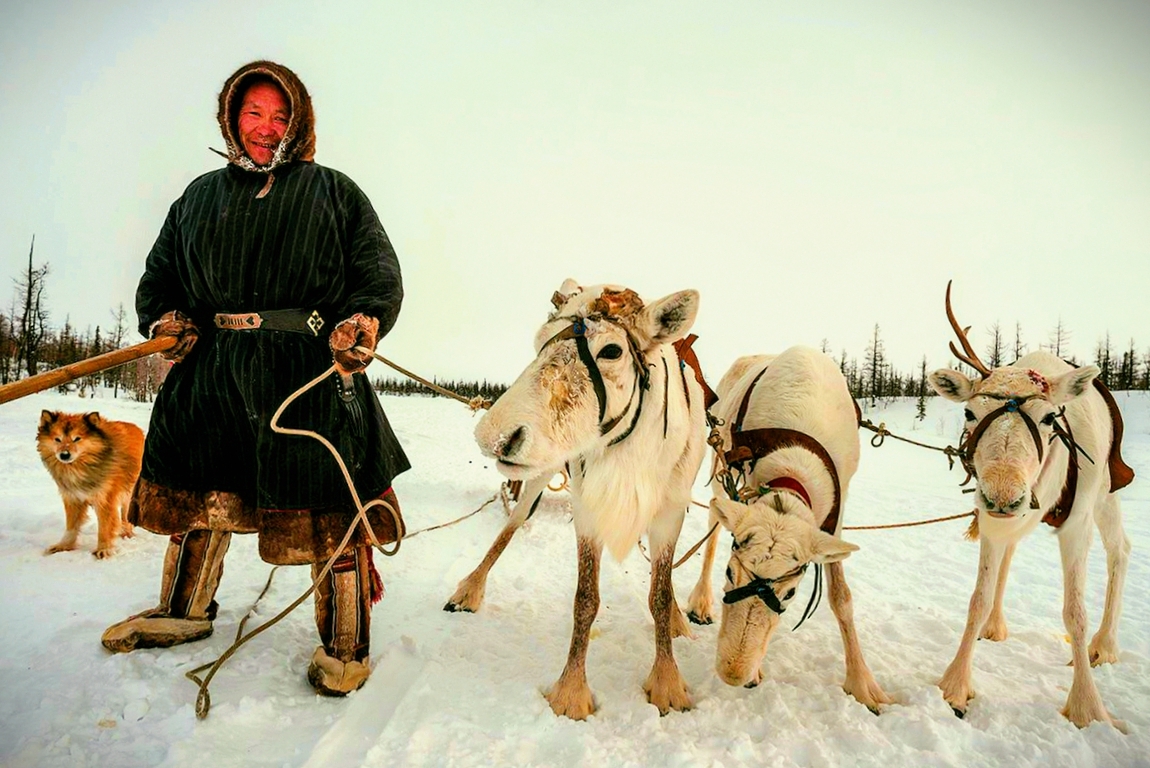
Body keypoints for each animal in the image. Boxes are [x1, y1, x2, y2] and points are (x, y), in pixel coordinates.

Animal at [36, 413, 144, 558]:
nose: (64, 455)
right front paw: (63, 546)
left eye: (77, 439)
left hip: (128, 493)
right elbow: (71, 527)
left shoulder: (105, 500)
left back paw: (127, 532)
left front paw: (103, 549)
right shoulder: (72, 498)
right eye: (57, 439)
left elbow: (104, 528)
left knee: (125, 515)